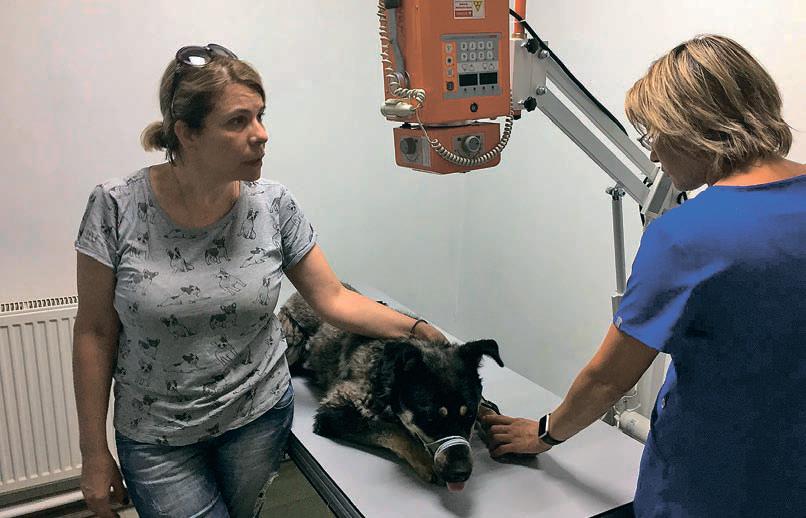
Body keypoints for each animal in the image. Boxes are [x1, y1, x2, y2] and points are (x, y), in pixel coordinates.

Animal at [278, 284, 503, 491]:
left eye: (469, 415)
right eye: (429, 420)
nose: (460, 473)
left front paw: (489, 414)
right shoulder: (335, 411)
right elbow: (395, 432)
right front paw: (425, 461)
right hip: (292, 342)